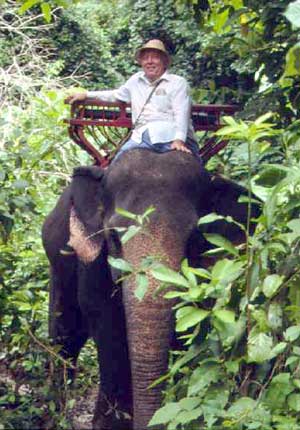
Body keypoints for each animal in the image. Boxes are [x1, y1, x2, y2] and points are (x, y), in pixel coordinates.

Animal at [42, 149, 260, 430]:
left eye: (193, 239)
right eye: (114, 237)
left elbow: (190, 324)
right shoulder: (92, 262)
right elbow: (105, 322)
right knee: (65, 334)